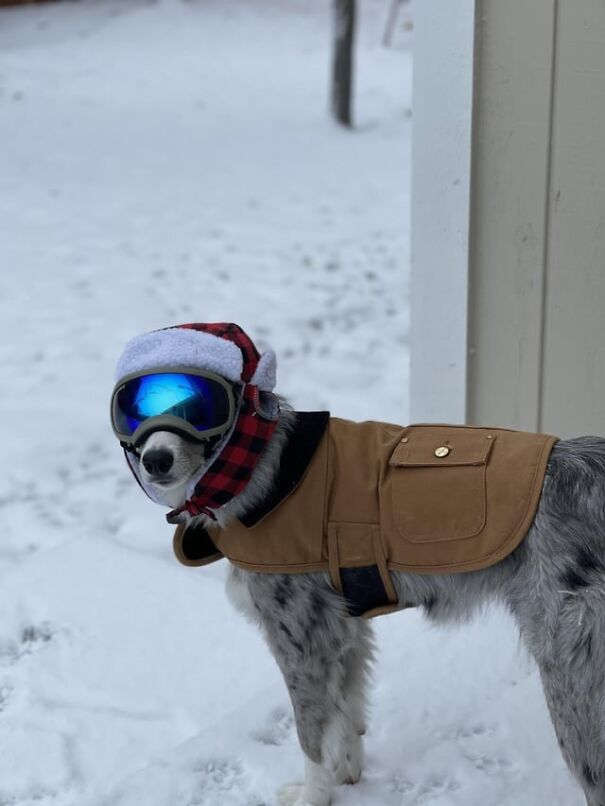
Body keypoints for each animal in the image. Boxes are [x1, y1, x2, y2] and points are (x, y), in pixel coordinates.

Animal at [113, 324, 605, 806]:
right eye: (135, 409)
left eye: (197, 405)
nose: (156, 460)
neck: (263, 468)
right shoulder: (344, 630)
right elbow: (346, 714)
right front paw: (346, 776)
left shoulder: (302, 641)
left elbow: (310, 733)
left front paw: (311, 796)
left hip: (572, 682)